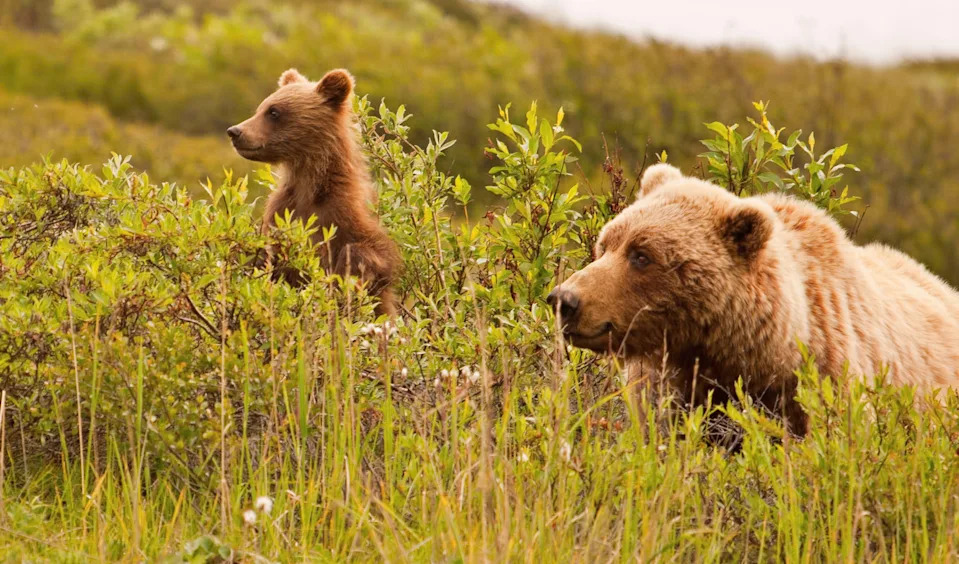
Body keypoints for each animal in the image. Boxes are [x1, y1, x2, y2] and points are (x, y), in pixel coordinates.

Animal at [227, 68, 401, 316]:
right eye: (261, 108)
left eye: (273, 112)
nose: (235, 131)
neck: (310, 188)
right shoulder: (282, 213)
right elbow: (267, 257)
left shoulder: (345, 212)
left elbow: (377, 254)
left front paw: (345, 277)